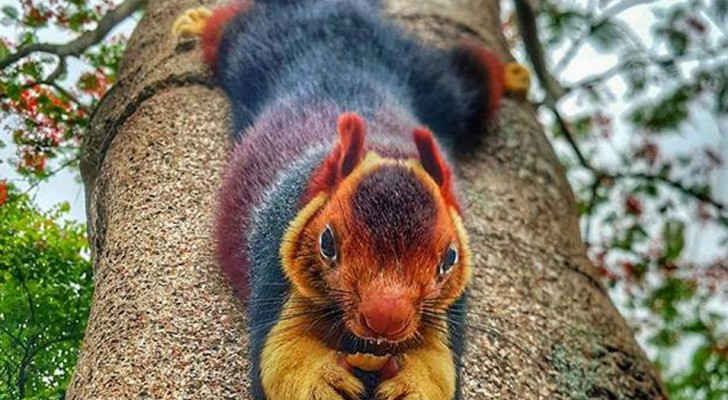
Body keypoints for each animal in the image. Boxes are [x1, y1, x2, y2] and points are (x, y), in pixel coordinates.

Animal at [174, 1, 528, 398]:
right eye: (326, 243)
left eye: (450, 258)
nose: (385, 318)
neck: (386, 152)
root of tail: (336, 13)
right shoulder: (277, 268)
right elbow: (281, 355)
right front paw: (320, 379)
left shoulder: (447, 310)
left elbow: (438, 366)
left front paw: (414, 384)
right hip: (257, 42)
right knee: (228, 28)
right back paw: (199, 21)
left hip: (430, 80)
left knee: (469, 79)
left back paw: (513, 75)